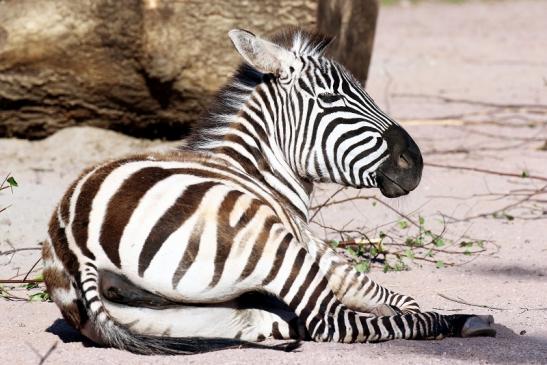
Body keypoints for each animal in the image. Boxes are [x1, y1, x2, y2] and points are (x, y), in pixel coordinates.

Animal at [42, 27, 496, 352]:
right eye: (330, 98)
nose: (413, 163)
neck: (257, 172)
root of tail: (75, 241)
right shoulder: (314, 248)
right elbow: (395, 301)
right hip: (269, 242)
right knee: (331, 322)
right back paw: (460, 322)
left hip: (178, 317)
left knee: (265, 323)